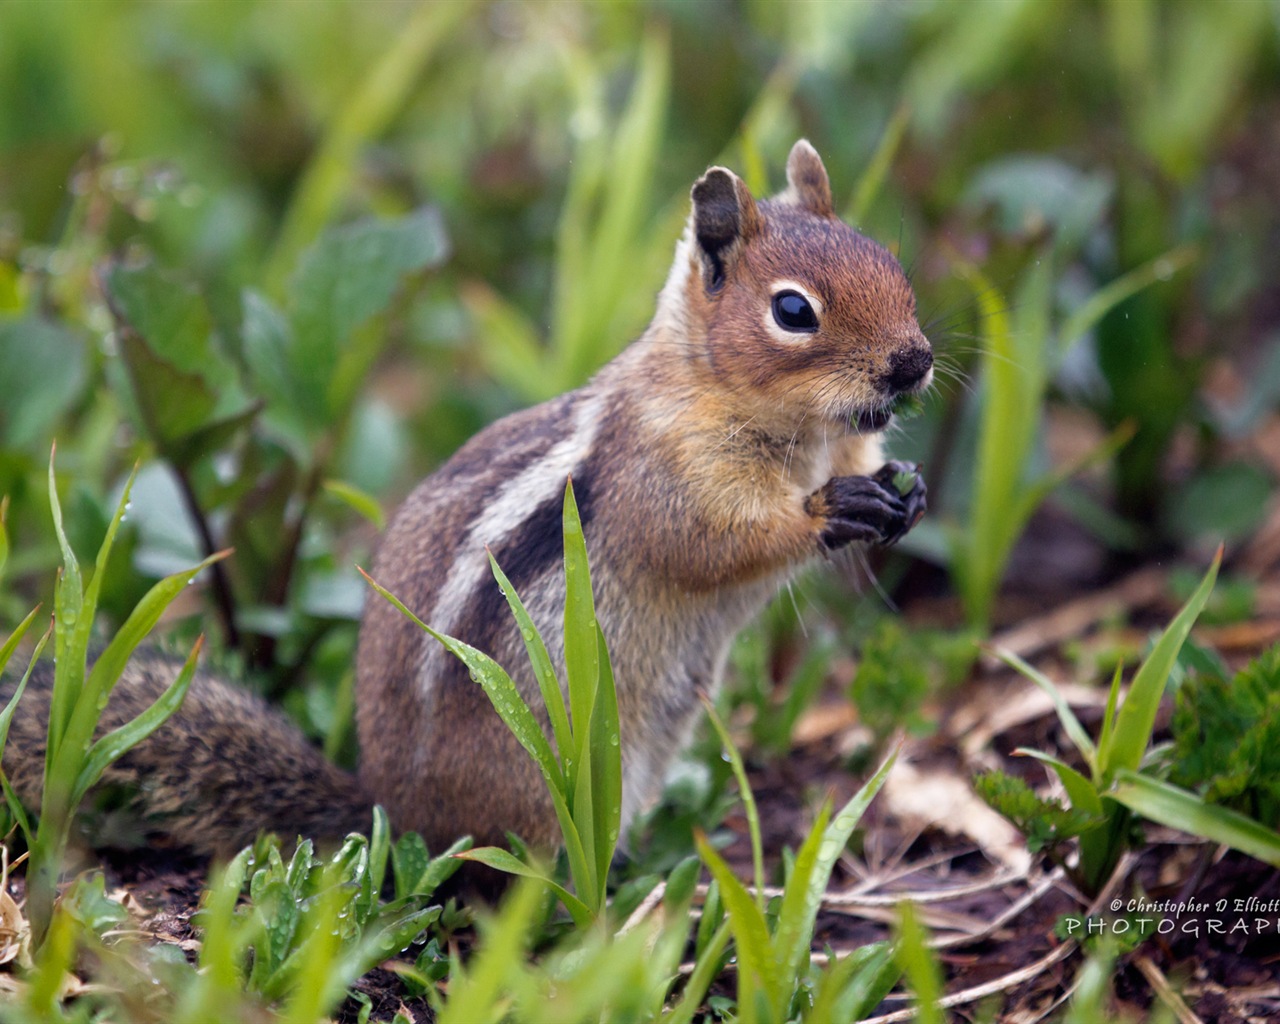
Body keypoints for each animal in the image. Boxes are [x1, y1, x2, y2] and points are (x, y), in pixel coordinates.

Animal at [5, 142, 936, 855]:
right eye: (793, 311)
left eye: (893, 265)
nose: (914, 362)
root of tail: (394, 811)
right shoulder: (665, 474)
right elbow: (713, 542)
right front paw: (829, 513)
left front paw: (910, 492)